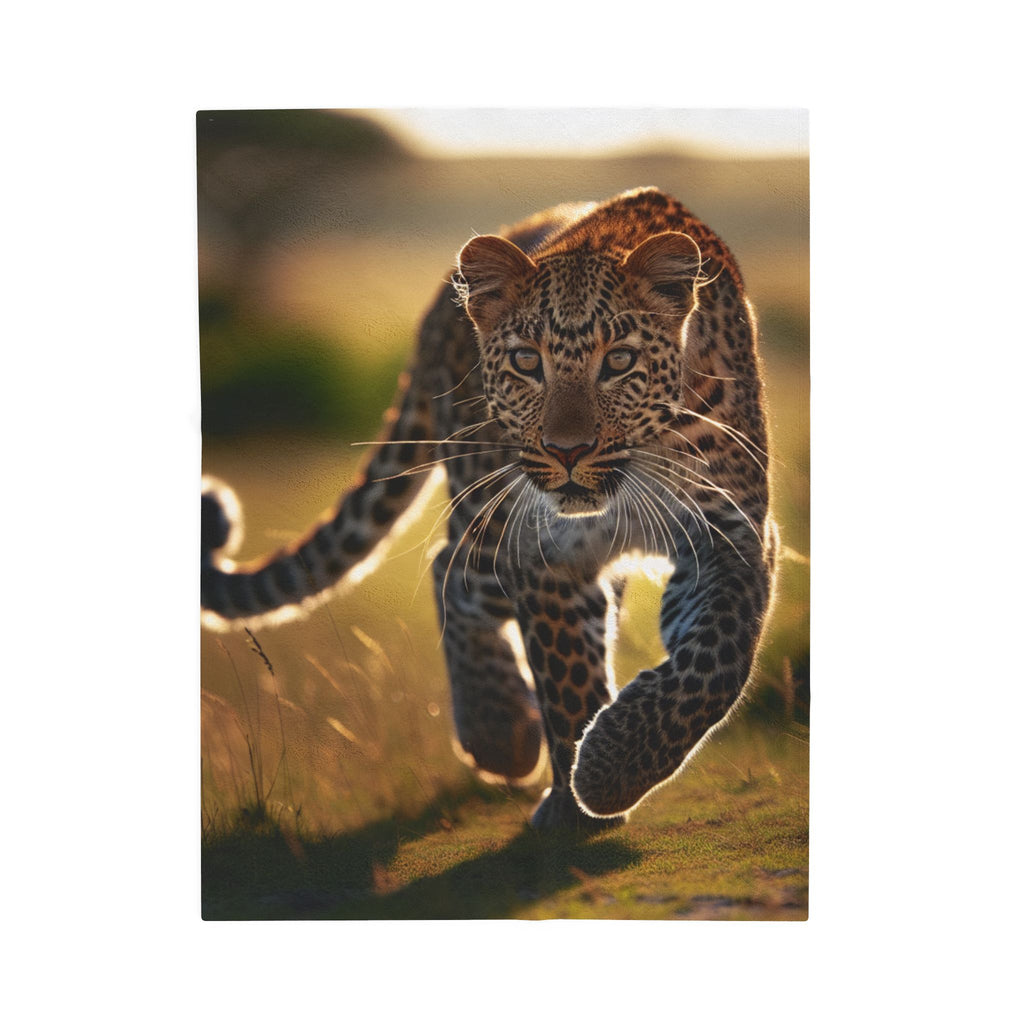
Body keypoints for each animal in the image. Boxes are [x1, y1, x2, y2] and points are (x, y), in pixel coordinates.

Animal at [201, 186, 778, 832]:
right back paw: (500, 732)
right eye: (527, 362)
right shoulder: (545, 553)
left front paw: (609, 768)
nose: (567, 451)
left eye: (619, 361)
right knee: (448, 567)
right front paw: (581, 800)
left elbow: (717, 661)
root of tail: (435, 310)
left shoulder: (732, 535)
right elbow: (567, 677)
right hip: (488, 511)